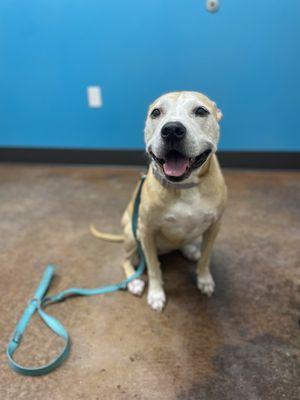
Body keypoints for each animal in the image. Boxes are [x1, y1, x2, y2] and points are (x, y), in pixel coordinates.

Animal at [91, 91, 227, 312]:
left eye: (201, 111)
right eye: (156, 112)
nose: (172, 130)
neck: (185, 187)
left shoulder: (215, 226)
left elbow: (206, 257)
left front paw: (204, 280)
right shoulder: (146, 231)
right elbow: (154, 267)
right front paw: (156, 294)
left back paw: (190, 250)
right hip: (132, 233)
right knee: (126, 260)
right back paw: (133, 282)